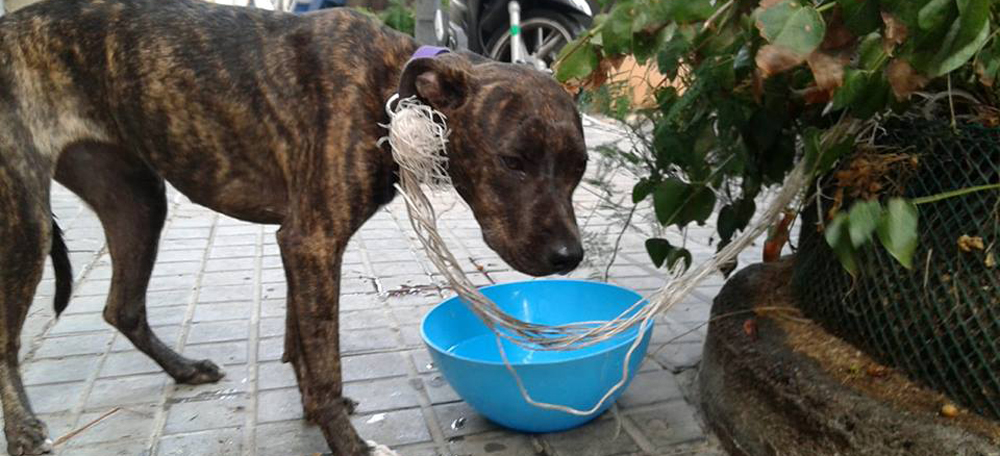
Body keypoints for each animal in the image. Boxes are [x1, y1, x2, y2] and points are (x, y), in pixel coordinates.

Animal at [0, 0, 584, 454]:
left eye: (577, 168)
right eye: (512, 161)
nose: (568, 258)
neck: (391, 94)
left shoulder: (298, 245)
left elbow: (301, 341)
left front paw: (317, 412)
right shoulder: (313, 242)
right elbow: (324, 359)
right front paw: (347, 441)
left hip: (137, 202)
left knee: (121, 307)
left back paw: (183, 369)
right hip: (26, 221)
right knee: (10, 337)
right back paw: (24, 429)